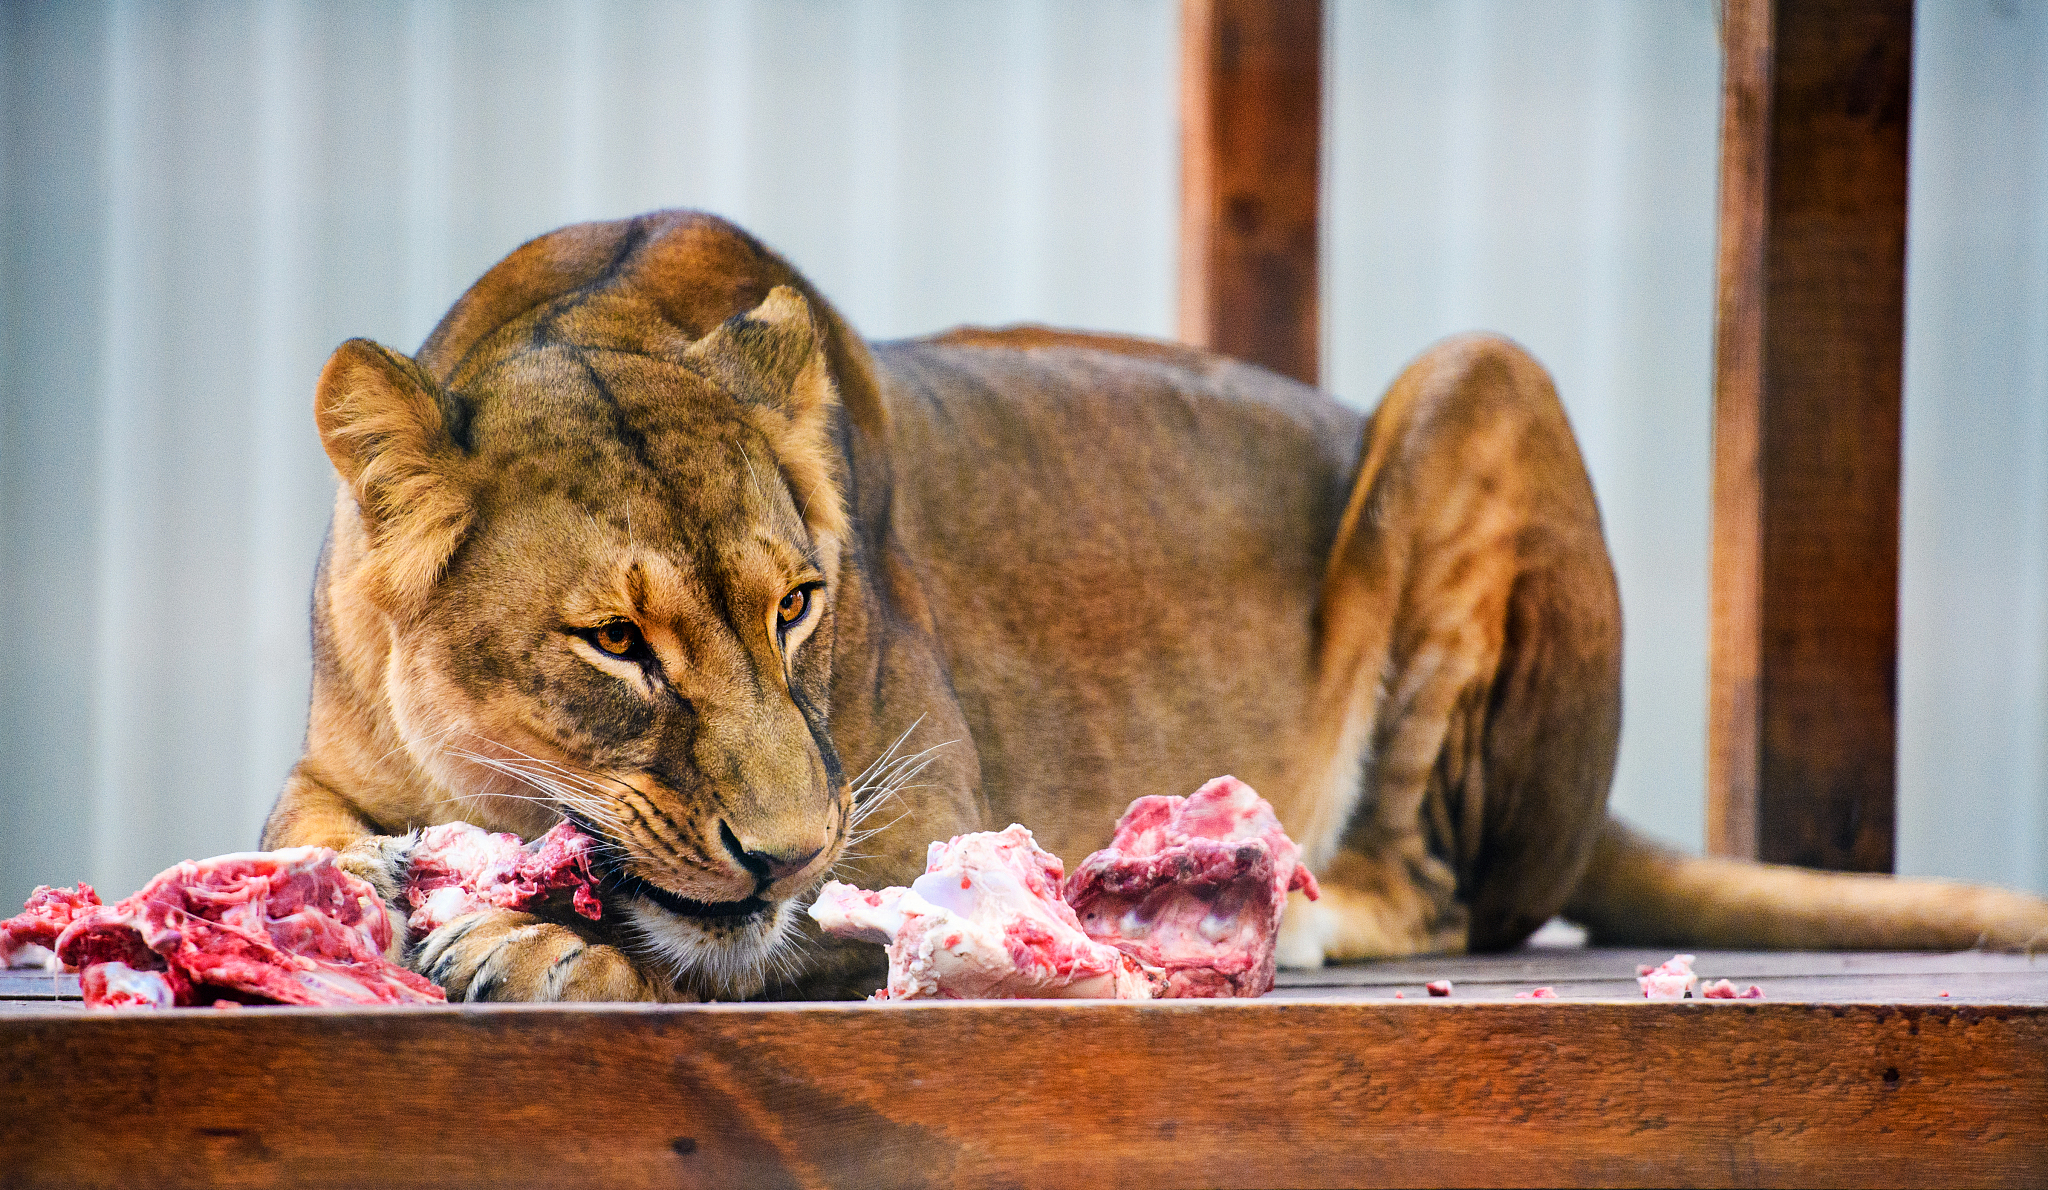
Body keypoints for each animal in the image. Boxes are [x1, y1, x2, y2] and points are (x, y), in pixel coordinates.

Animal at [261, 210, 2048, 1001]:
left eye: (799, 605)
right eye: (615, 642)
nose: (781, 844)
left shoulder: (920, 826)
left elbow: (751, 939)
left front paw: (529, 942)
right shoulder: (330, 769)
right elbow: (311, 839)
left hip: (1484, 379)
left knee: (1443, 885)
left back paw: (1284, 901)